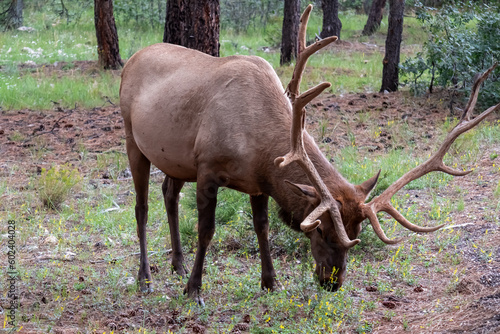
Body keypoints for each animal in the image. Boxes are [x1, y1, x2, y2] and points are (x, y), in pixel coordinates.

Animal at [121, 3, 500, 306]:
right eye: (321, 231)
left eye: (354, 235)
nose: (333, 283)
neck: (260, 150)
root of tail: (131, 59)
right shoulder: (207, 169)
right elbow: (206, 230)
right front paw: (194, 290)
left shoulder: (257, 183)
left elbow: (262, 228)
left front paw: (270, 283)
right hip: (132, 138)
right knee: (141, 208)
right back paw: (145, 278)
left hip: (175, 159)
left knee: (168, 193)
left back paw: (177, 263)